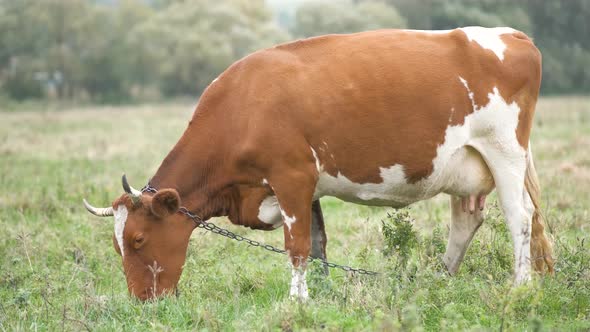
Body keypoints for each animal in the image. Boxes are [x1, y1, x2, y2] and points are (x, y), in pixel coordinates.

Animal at [83, 26, 556, 300]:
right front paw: (323, 293)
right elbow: (318, 242)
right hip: (467, 165)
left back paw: (519, 285)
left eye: (139, 239)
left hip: (504, 151)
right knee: (466, 221)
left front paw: (297, 300)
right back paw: (440, 280)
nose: (142, 301)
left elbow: (297, 246)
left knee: (519, 217)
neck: (244, 105)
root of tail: (513, 35)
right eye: (117, 246)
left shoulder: (291, 176)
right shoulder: (304, 187)